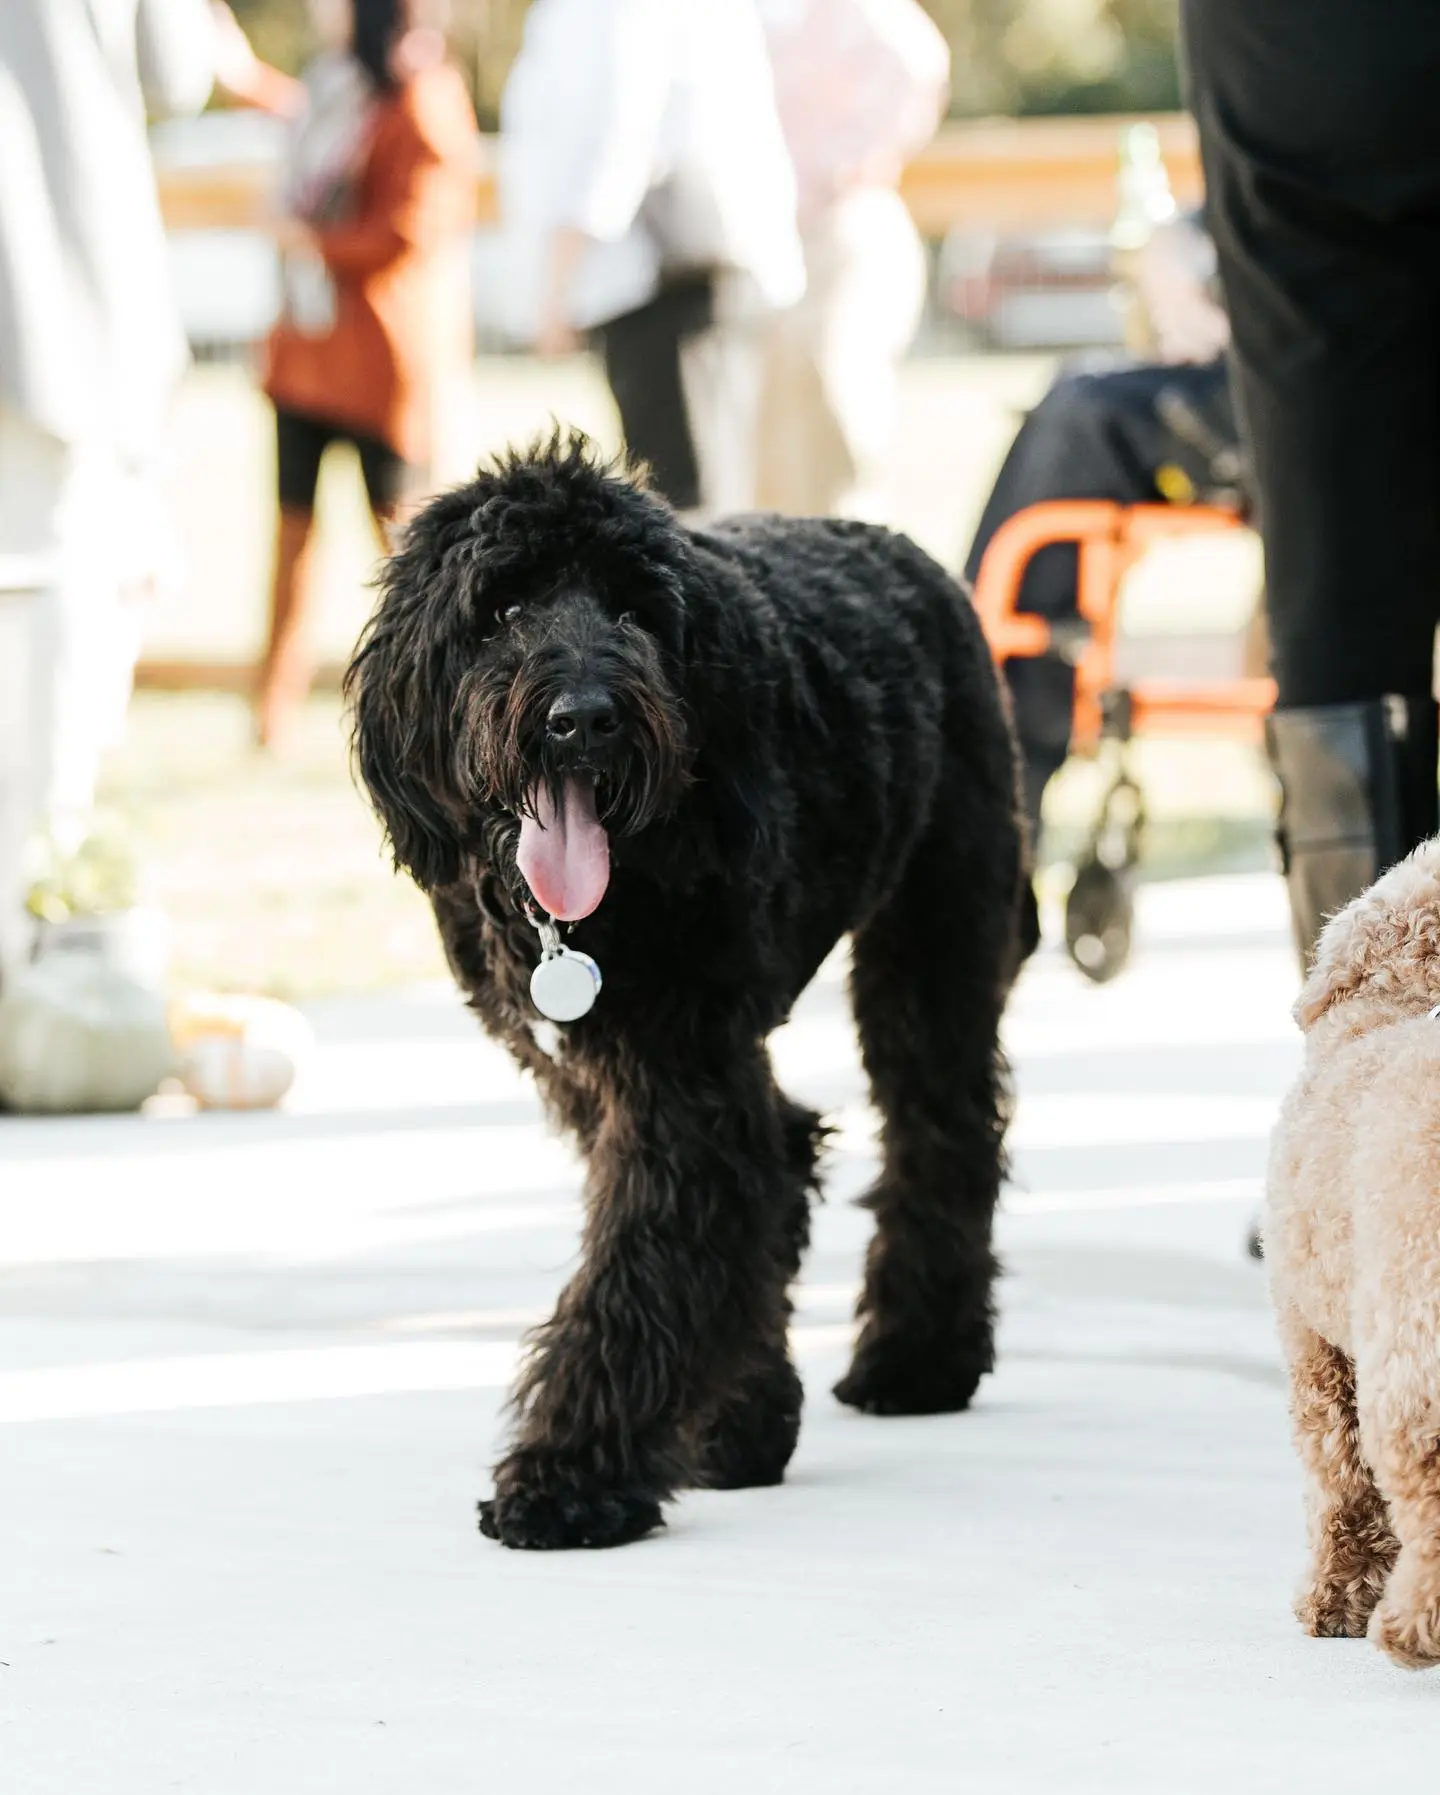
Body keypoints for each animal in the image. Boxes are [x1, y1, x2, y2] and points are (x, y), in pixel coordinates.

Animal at [342, 441, 1027, 1550]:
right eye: (500, 606)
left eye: (634, 608)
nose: (584, 718)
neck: (586, 916)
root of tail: (904, 550)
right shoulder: (606, 1077)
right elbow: (720, 1231)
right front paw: (739, 1422)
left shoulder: (682, 1083)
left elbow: (646, 1268)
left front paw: (569, 1479)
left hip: (937, 943)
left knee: (943, 1130)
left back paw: (917, 1360)